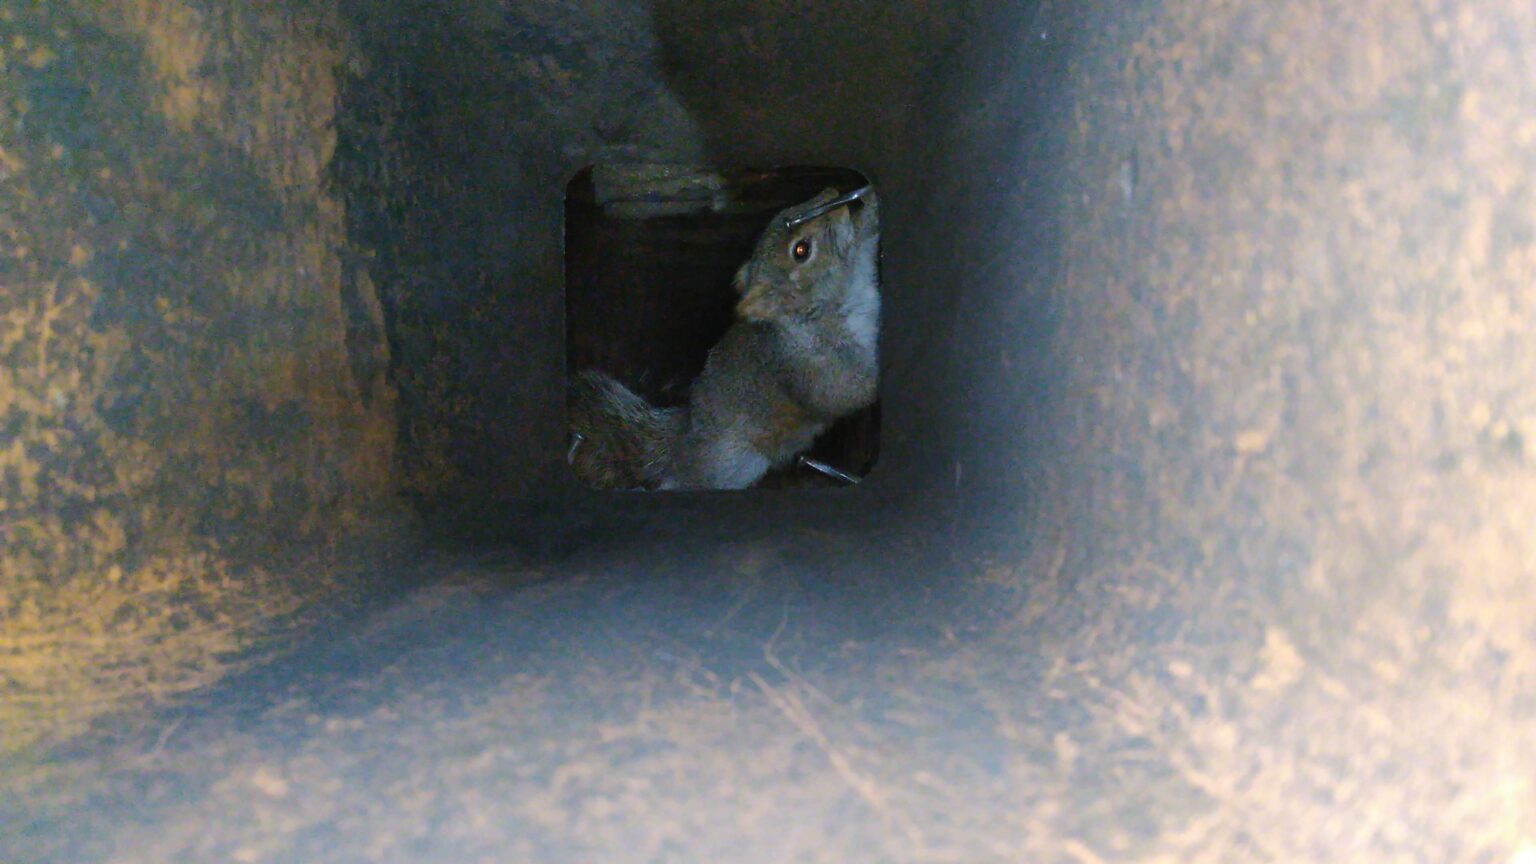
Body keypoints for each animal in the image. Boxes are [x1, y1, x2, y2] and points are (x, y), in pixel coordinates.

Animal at [569, 185, 880, 490]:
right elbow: (839, 393)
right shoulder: (800, 364)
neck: (838, 297)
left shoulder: (861, 258)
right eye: (801, 250)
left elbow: (869, 231)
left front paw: (871, 199)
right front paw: (877, 382)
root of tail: (682, 437)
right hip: (726, 465)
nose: (832, 194)